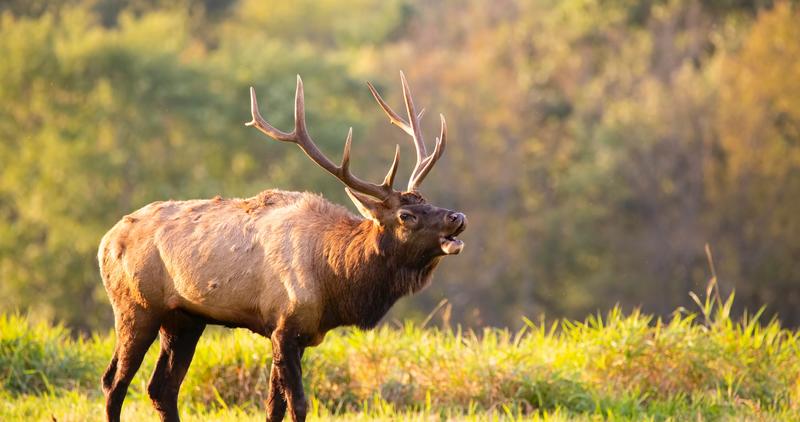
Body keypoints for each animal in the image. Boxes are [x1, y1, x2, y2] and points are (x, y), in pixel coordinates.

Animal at [97, 73, 466, 422]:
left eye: (427, 201)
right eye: (406, 215)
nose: (457, 216)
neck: (335, 281)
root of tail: (105, 242)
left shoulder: (298, 333)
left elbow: (274, 406)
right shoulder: (284, 325)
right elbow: (298, 404)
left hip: (184, 318)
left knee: (161, 387)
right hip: (136, 306)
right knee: (114, 382)